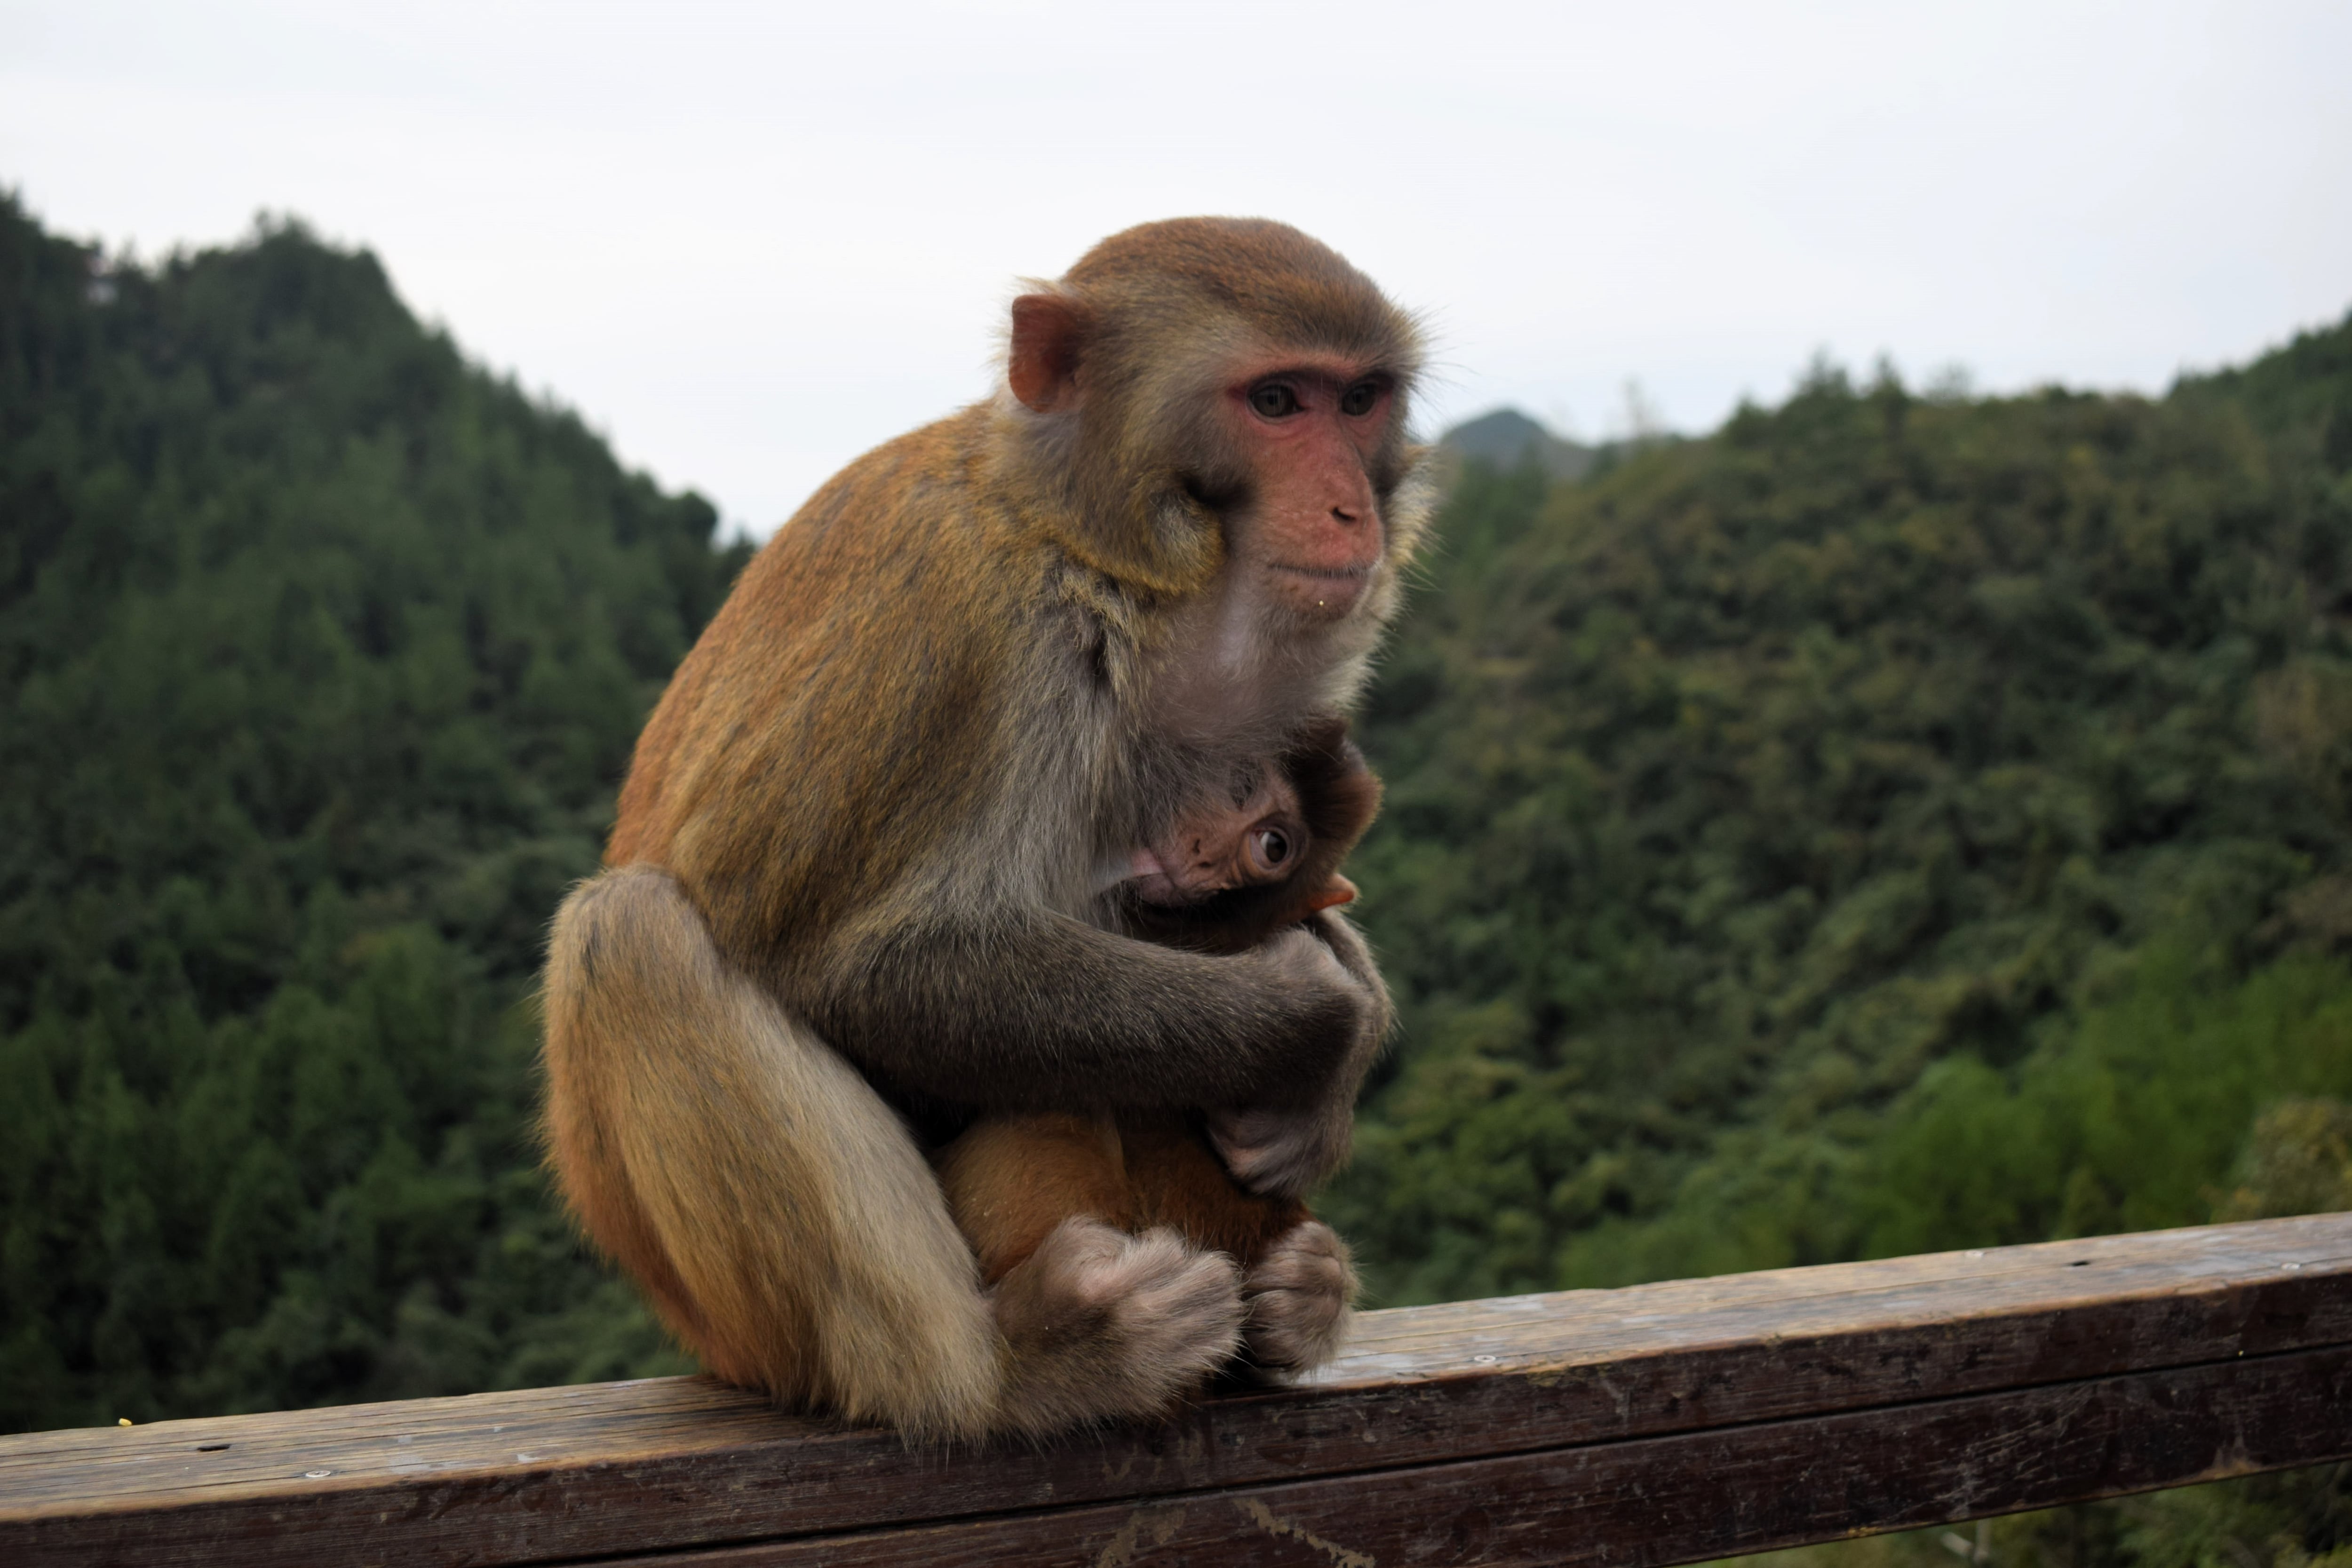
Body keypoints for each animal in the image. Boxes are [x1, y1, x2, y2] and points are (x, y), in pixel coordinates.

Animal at [540, 217, 1429, 1440]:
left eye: (1361, 400)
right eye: (1277, 402)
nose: (1351, 509)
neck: (1113, 565)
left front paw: (1323, 1086)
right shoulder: (975, 641)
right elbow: (871, 967)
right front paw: (1316, 1020)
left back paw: (1298, 1298)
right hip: (732, 1320)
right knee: (632, 937)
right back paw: (1022, 1368)